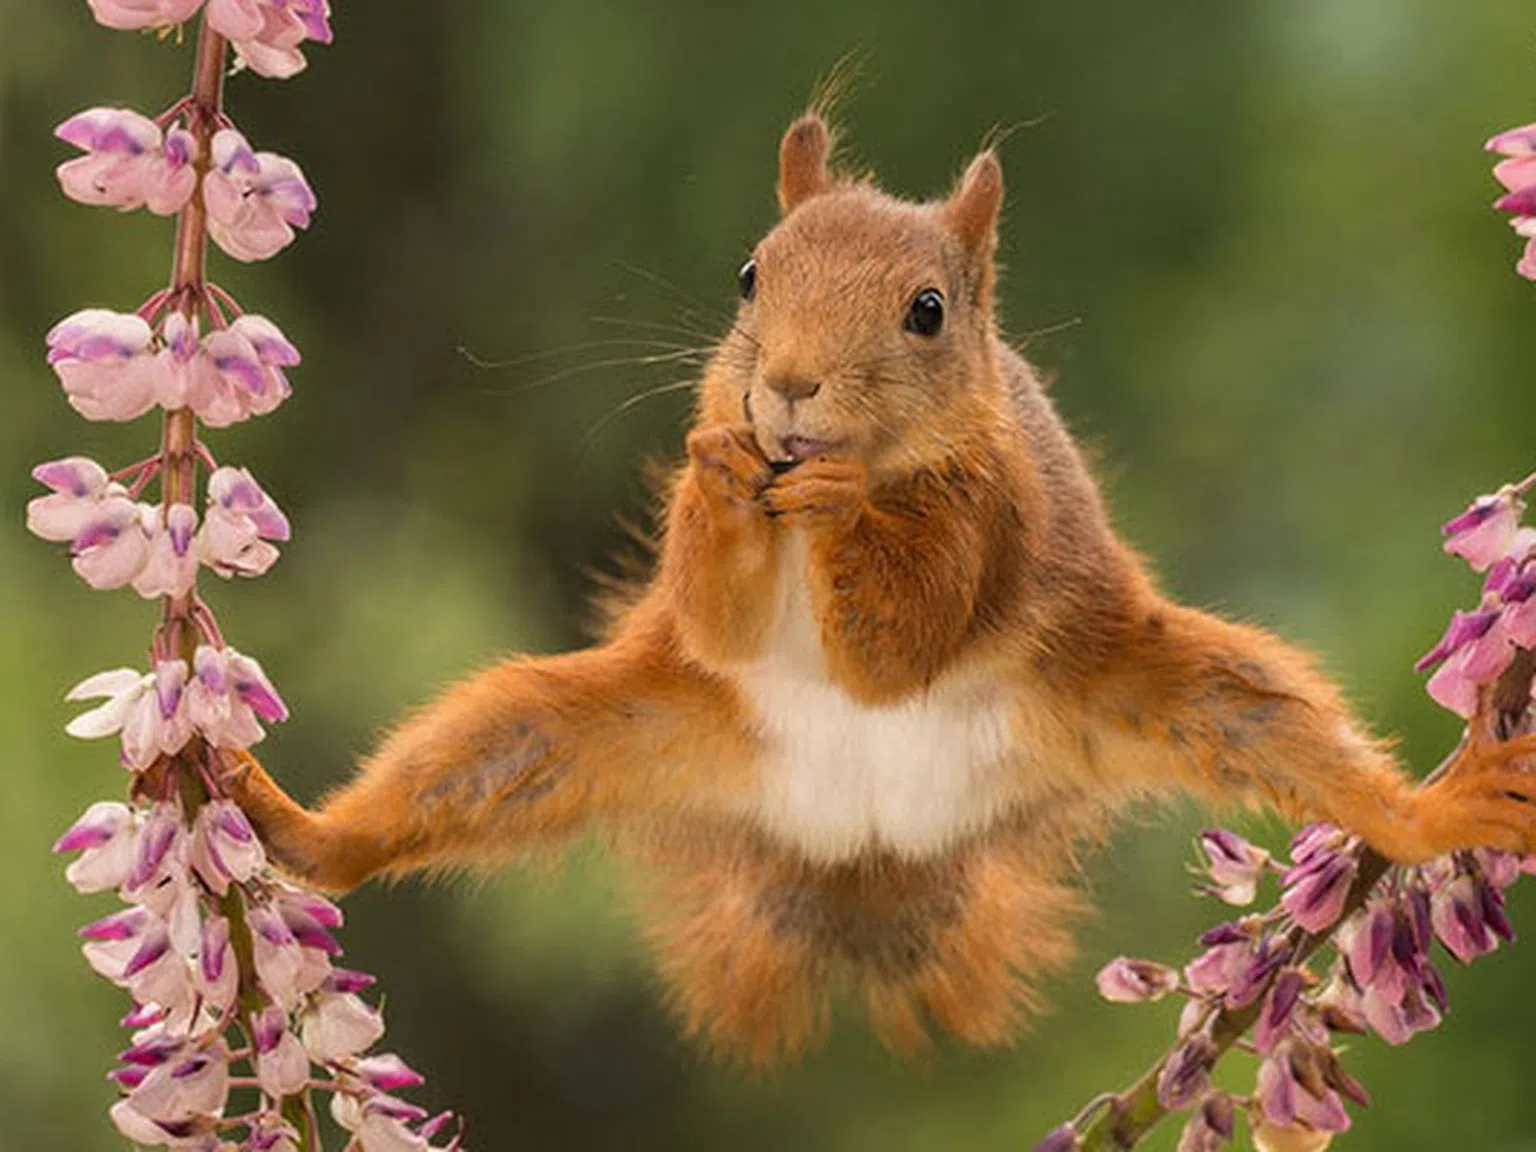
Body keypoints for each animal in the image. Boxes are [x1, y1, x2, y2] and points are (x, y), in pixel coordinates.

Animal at [224, 112, 1536, 1069]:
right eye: (749, 276)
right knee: (457, 772)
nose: (790, 388)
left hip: (1158, 687)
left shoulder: (992, 519)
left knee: (1284, 734)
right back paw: (289, 821)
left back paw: (1438, 810)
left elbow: (900, 645)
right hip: (598, 726)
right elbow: (713, 612)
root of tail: (866, 849)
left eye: (928, 312)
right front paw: (723, 473)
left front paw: (844, 502)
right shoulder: (713, 585)